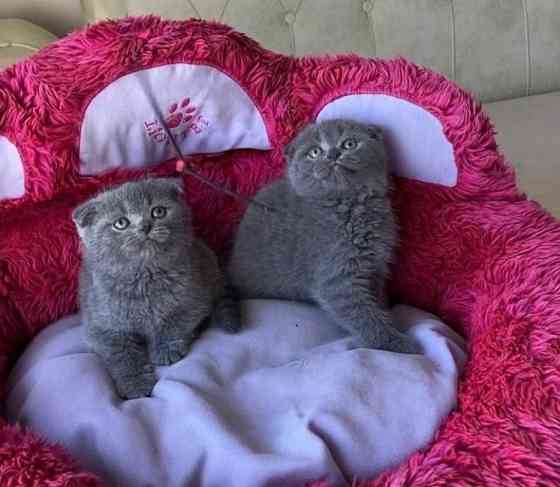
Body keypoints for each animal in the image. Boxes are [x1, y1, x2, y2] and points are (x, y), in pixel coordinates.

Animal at [72, 179, 238, 400]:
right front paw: (135, 384)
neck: (145, 279)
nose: (145, 226)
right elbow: (121, 353)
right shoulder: (100, 325)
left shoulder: (194, 297)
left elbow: (174, 322)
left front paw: (165, 350)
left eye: (158, 211)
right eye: (120, 223)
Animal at [229, 118, 420, 354]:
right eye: (315, 152)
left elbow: (375, 300)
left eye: (349, 144)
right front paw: (398, 343)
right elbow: (362, 314)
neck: (349, 206)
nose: (333, 154)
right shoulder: (336, 276)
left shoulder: (375, 266)